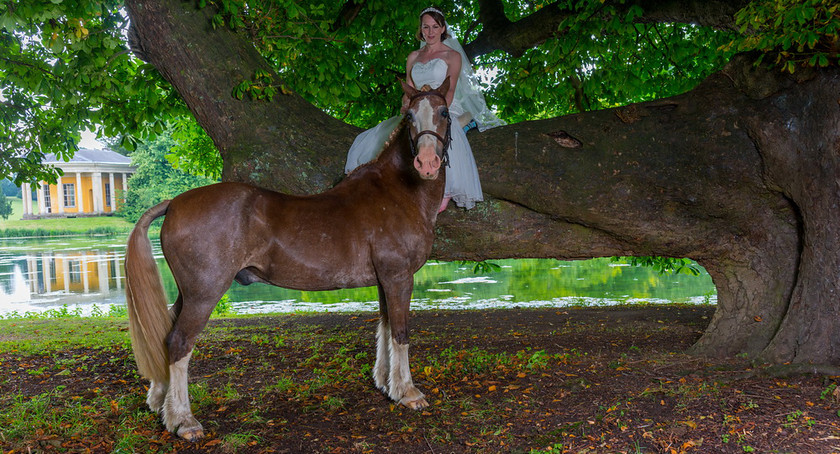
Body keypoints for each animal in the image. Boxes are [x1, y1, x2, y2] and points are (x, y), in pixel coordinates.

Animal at [124, 77, 452, 440]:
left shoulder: (385, 279)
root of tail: (174, 203)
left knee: (165, 334)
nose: (426, 163)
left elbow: (385, 326)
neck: (396, 192)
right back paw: (184, 420)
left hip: (189, 293)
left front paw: (384, 384)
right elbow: (401, 332)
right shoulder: (399, 276)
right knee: (179, 342)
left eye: (444, 112)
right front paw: (408, 392)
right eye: (409, 117)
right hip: (204, 293)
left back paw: (159, 401)